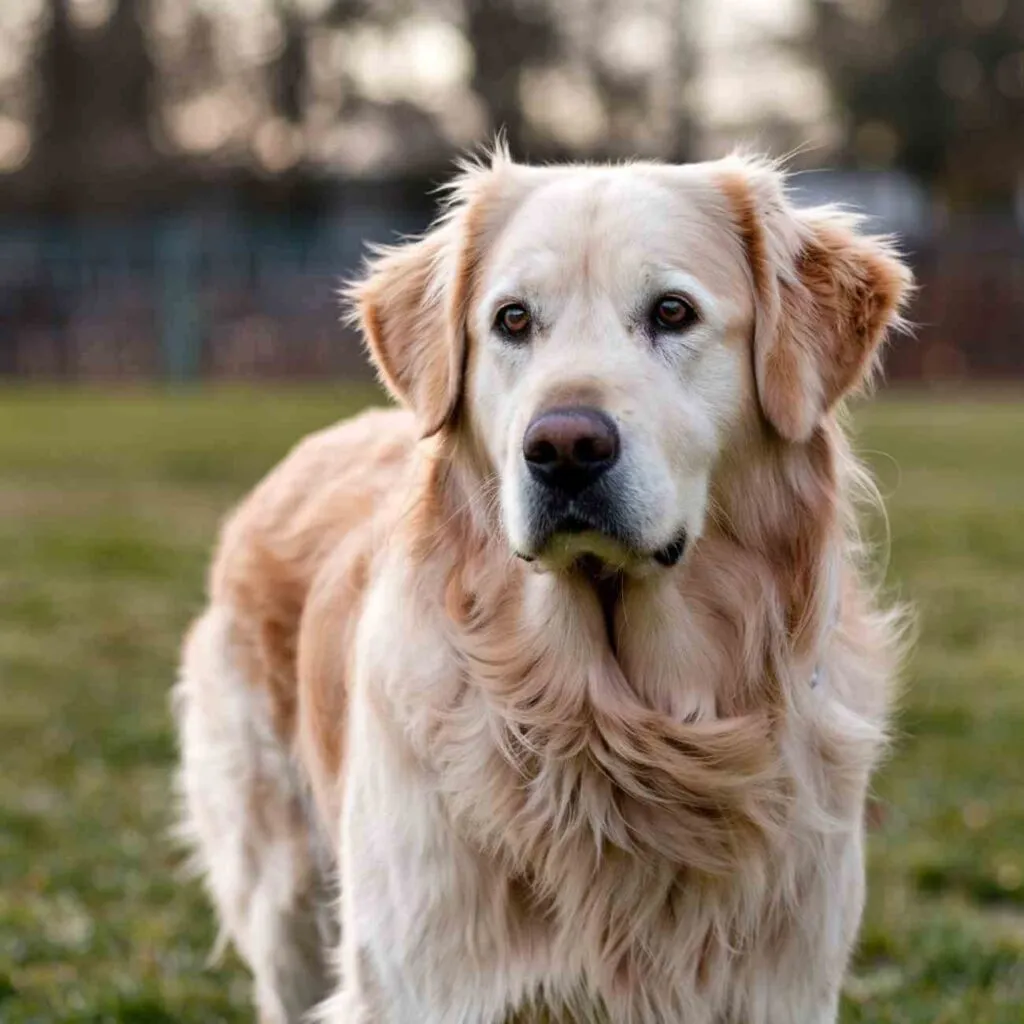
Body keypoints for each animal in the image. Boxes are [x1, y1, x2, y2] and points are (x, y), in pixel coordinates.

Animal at [174, 146, 913, 1024]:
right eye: (513, 320)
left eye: (672, 312)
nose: (564, 447)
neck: (614, 723)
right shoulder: (416, 983)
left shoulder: (784, 986)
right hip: (282, 892)